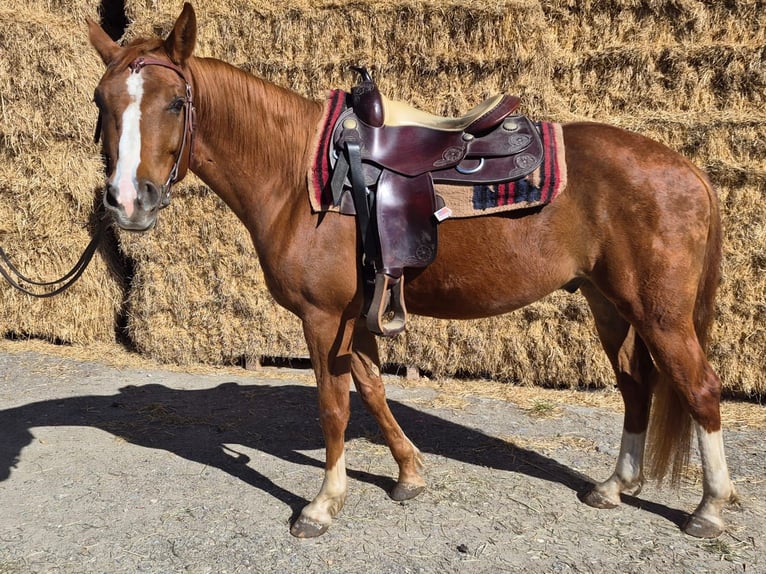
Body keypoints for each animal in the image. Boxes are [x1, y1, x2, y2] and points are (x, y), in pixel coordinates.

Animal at [86, 3, 737, 539]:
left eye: (175, 103)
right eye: (101, 101)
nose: (128, 201)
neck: (299, 176)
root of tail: (688, 168)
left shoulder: (323, 317)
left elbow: (334, 405)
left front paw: (322, 504)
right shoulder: (358, 315)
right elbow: (372, 389)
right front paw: (409, 475)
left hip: (660, 313)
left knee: (699, 387)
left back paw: (709, 508)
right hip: (610, 305)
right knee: (636, 385)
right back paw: (614, 487)